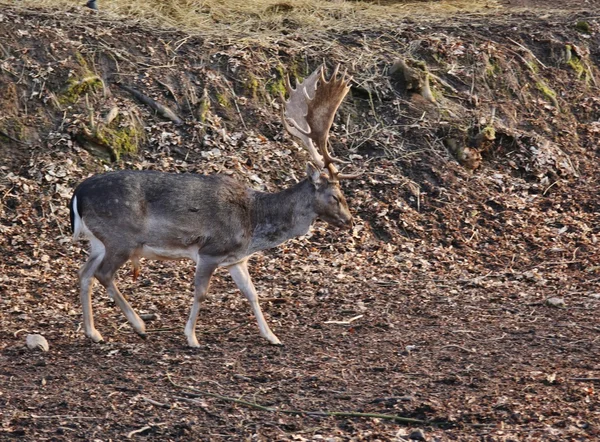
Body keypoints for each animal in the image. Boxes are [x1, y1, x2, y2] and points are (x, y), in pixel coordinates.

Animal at [69, 64, 356, 348]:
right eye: (336, 196)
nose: (350, 220)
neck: (253, 223)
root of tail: (77, 193)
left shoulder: (236, 259)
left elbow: (252, 293)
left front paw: (272, 337)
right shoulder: (210, 250)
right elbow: (201, 293)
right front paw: (191, 337)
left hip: (98, 240)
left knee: (84, 273)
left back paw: (93, 332)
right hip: (121, 238)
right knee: (103, 274)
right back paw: (139, 325)